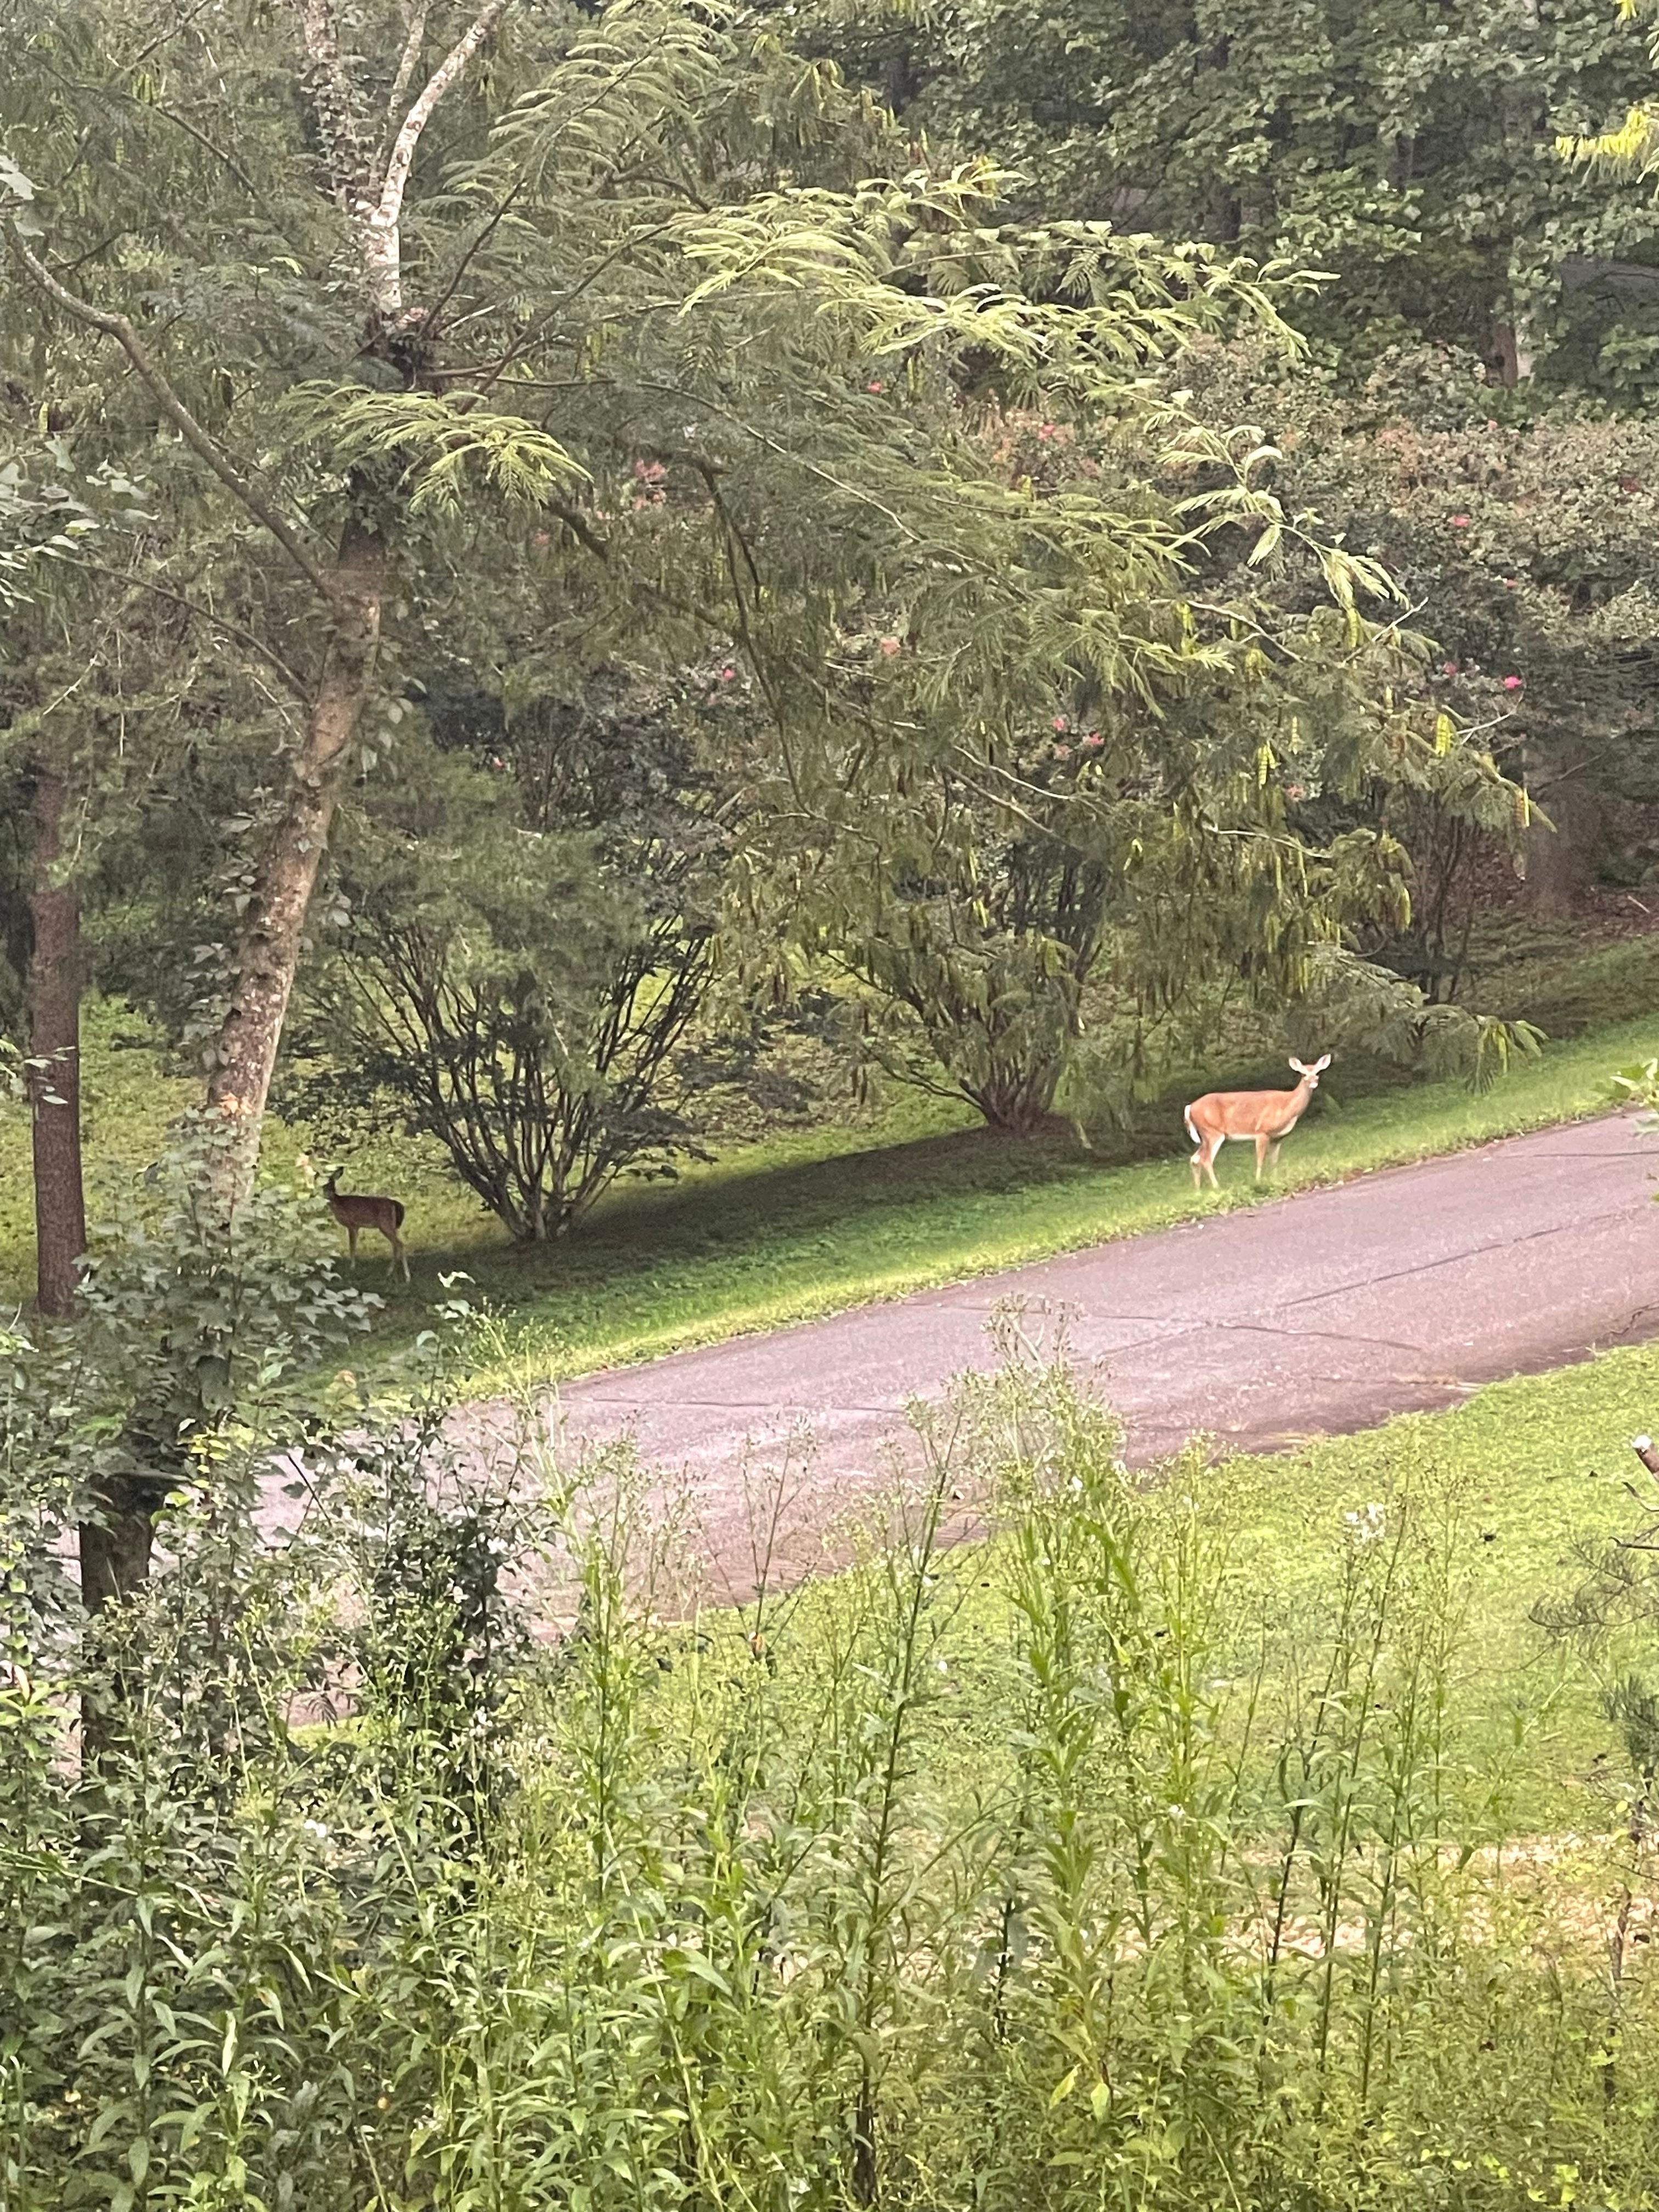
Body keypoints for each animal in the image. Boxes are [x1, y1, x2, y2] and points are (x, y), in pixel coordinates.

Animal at [323, 1168, 410, 1280]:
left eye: (333, 1186)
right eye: (324, 1187)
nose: (329, 1194)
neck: (339, 1204)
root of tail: (395, 1204)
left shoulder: (352, 1224)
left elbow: (352, 1246)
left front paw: (352, 1267)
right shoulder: (357, 1227)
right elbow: (354, 1245)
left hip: (386, 1224)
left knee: (400, 1244)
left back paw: (407, 1277)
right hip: (392, 1227)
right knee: (396, 1245)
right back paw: (389, 1272)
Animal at [1184, 1054, 1331, 1191]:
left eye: (1317, 1073)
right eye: (1303, 1074)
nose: (1314, 1082)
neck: (1287, 1106)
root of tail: (1190, 1107)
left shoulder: (1278, 1137)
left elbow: (1274, 1161)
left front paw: (1275, 1180)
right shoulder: (1262, 1131)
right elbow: (1260, 1160)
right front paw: (1259, 1182)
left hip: (1206, 1136)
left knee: (1195, 1158)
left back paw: (1198, 1191)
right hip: (1212, 1132)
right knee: (1206, 1159)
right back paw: (1217, 1187)